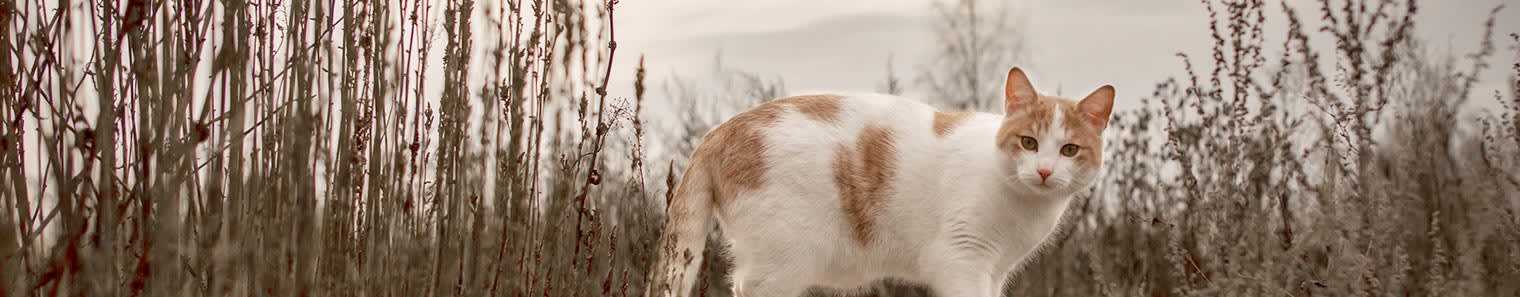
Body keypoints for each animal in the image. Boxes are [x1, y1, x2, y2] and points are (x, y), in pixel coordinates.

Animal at [653, 67, 1118, 297]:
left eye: (1069, 150)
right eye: (1028, 142)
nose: (1044, 171)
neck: (1024, 207)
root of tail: (720, 129)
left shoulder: (993, 271)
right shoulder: (961, 259)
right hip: (779, 267)